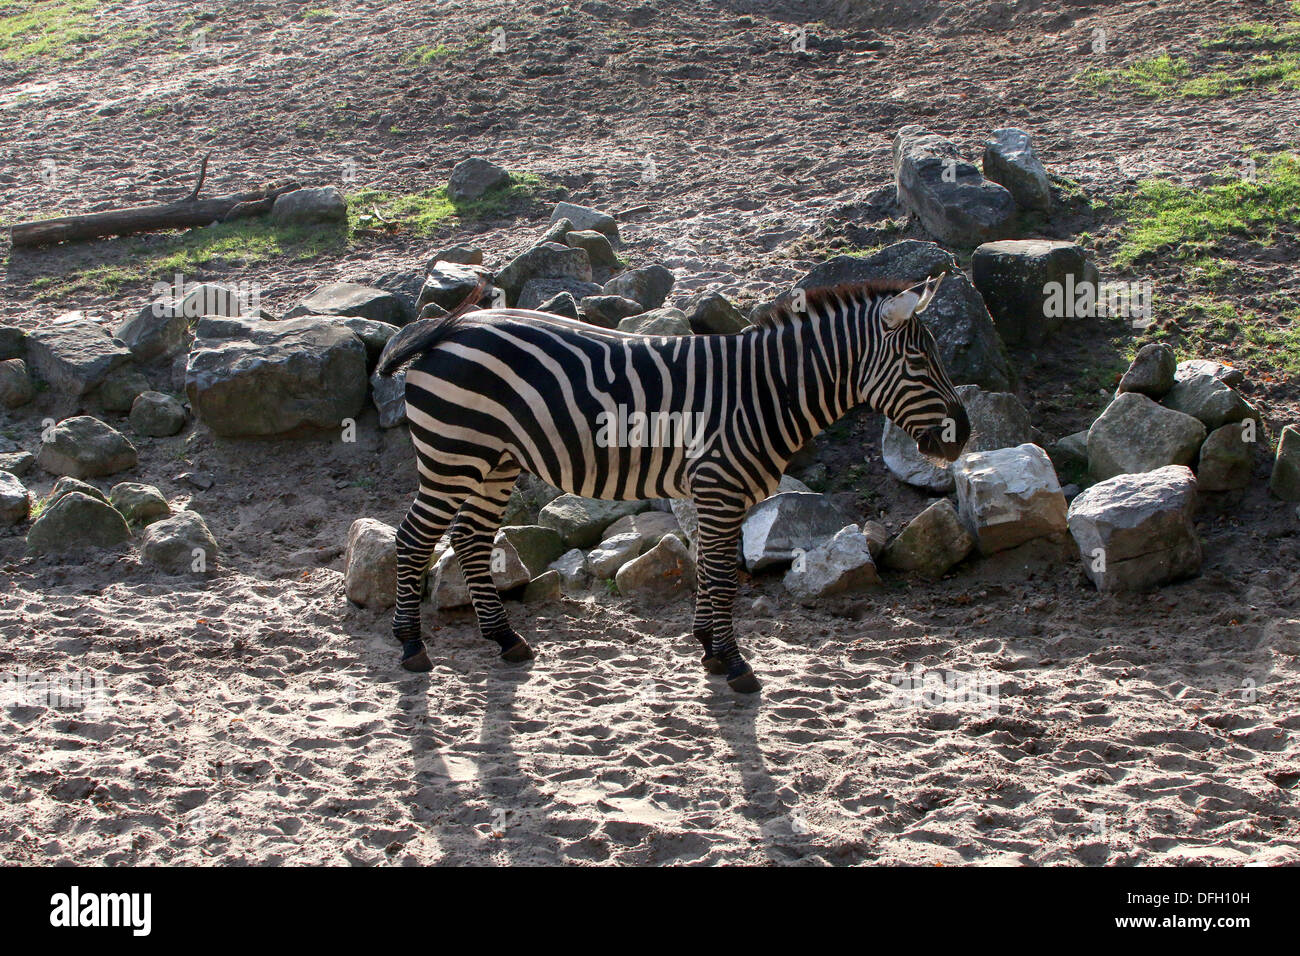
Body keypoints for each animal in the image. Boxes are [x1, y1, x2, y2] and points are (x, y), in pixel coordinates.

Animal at [374, 273, 970, 693]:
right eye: (918, 362)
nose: (962, 435)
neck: (766, 391)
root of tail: (450, 329)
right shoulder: (720, 485)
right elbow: (725, 576)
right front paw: (734, 662)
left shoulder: (714, 491)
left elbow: (710, 566)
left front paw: (708, 647)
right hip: (453, 453)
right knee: (414, 539)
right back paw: (411, 647)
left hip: (493, 461)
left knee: (470, 539)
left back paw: (505, 639)